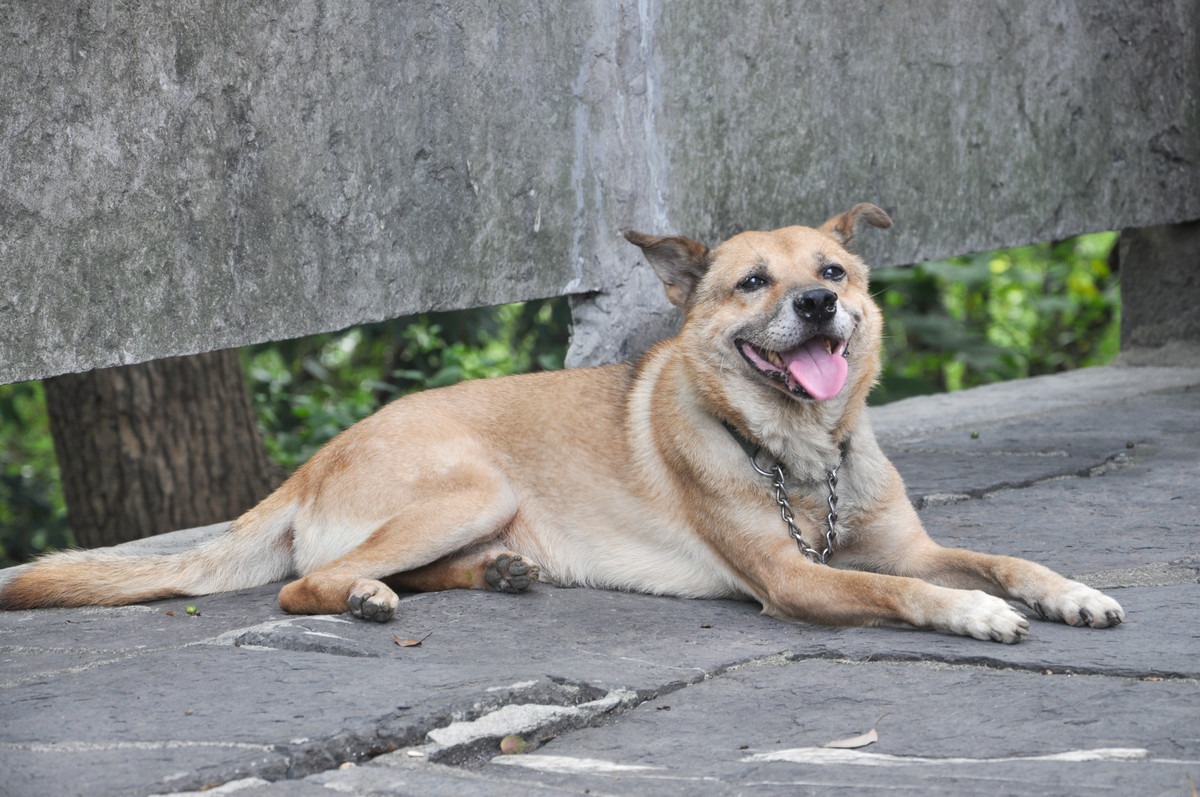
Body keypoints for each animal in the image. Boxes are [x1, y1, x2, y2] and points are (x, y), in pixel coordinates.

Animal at [0, 204, 1123, 643]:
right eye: (753, 282)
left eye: (835, 270)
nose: (818, 305)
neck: (800, 450)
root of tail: (311, 464)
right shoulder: (797, 579)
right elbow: (901, 590)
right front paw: (972, 612)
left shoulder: (911, 540)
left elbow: (1000, 557)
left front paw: (1067, 589)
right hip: (470, 483)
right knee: (303, 582)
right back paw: (362, 593)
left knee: (406, 568)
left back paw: (494, 573)